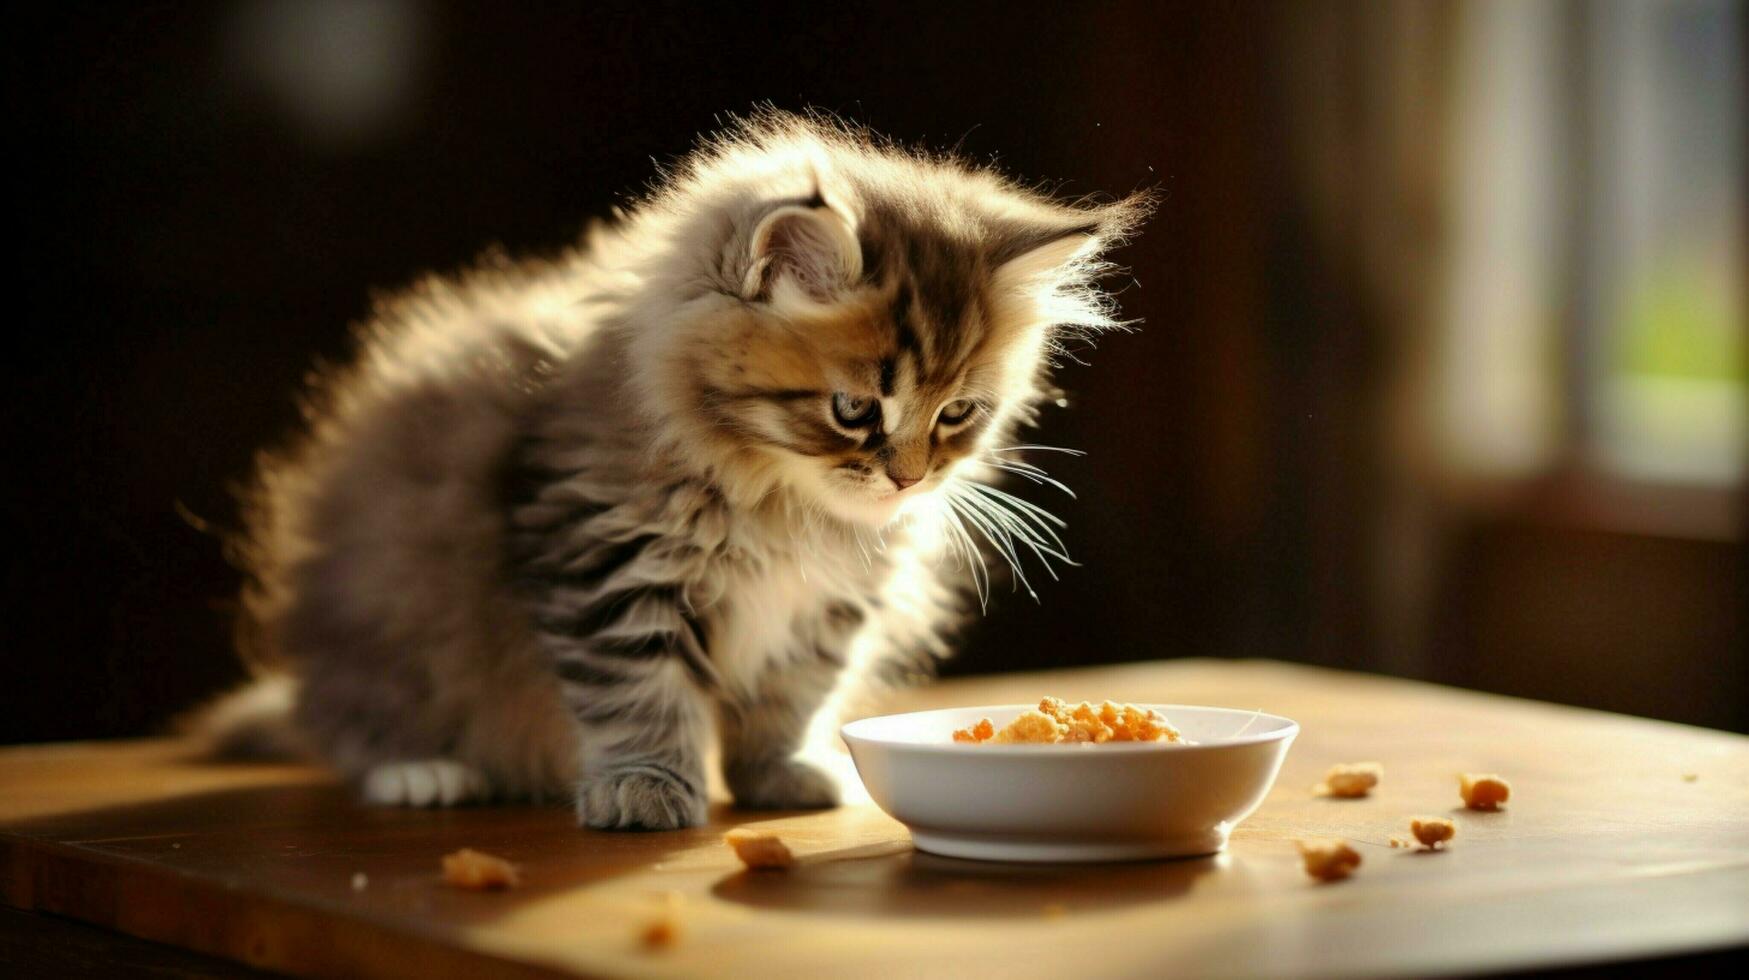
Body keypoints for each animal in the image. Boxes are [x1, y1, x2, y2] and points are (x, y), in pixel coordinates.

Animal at [222, 116, 1147, 833]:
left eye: (956, 414)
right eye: (854, 409)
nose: (908, 481)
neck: (780, 501)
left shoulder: (826, 605)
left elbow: (791, 694)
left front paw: (782, 773)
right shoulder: (603, 558)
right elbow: (637, 690)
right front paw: (645, 786)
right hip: (384, 611)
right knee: (352, 717)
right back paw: (422, 770)